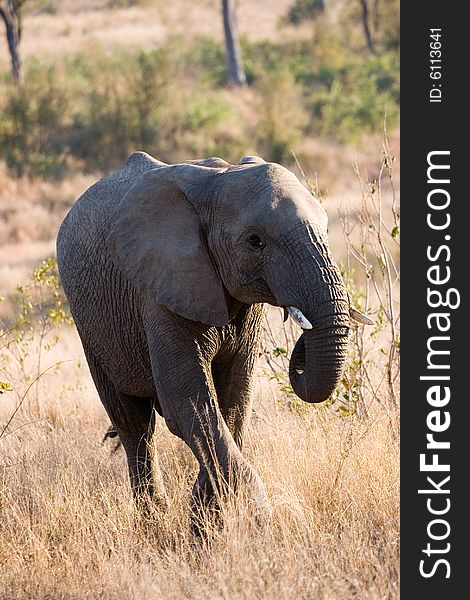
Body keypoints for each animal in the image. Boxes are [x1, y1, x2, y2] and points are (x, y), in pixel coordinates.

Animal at [56, 150, 370, 528]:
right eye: (255, 241)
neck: (218, 181)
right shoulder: (161, 288)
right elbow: (189, 405)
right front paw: (257, 524)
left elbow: (232, 403)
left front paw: (205, 522)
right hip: (91, 326)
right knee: (134, 425)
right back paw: (152, 526)